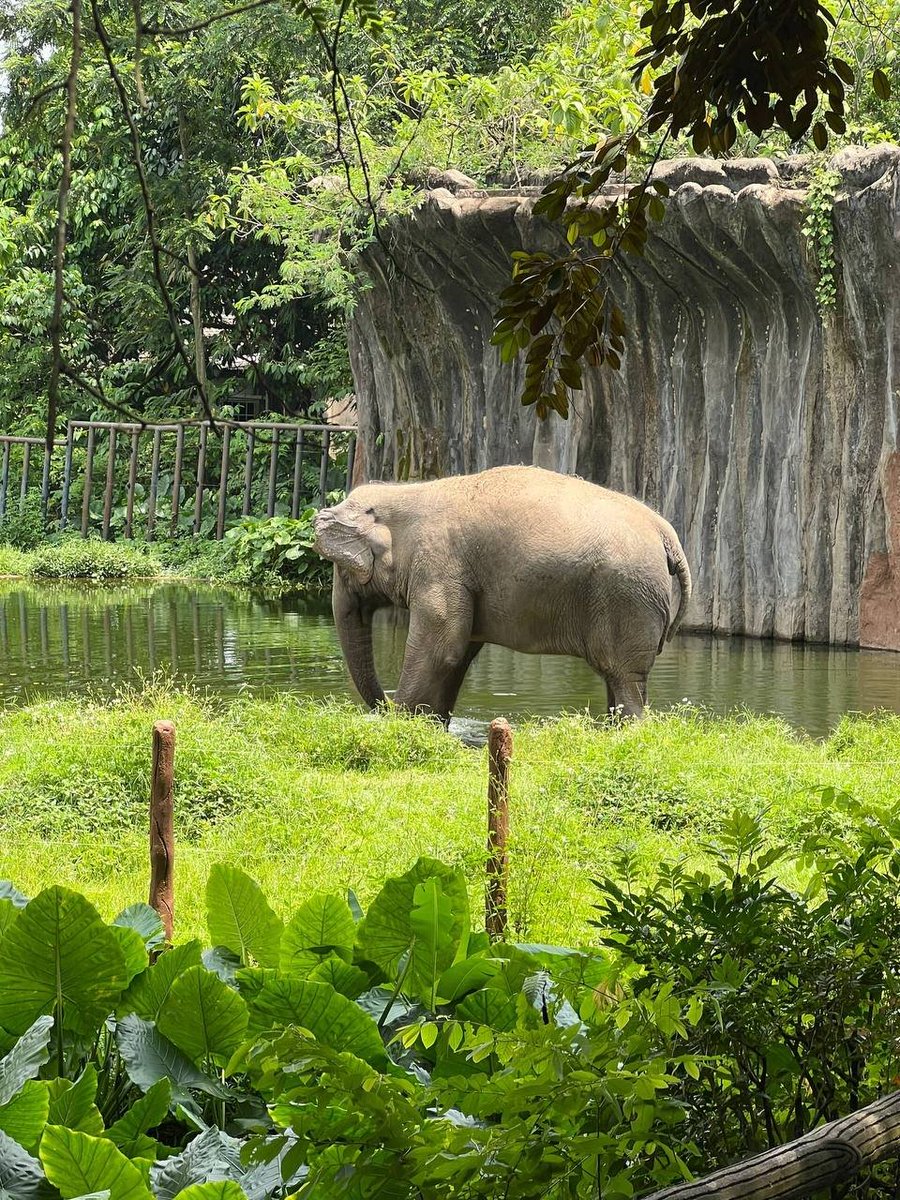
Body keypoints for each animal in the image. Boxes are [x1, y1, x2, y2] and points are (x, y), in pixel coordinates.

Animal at [313, 465, 692, 722]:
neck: (405, 494)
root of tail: (666, 533)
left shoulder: (440, 565)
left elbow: (442, 647)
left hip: (627, 599)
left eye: (343, 571)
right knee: (620, 679)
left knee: (625, 678)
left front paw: (402, 724)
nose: (384, 704)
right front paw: (432, 726)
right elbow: (459, 652)